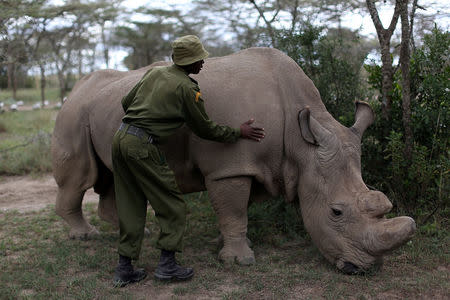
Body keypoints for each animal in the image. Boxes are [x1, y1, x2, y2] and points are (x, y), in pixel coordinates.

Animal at [51, 47, 414, 274]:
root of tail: (76, 89)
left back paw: (124, 229)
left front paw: (222, 245)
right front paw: (239, 262)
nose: (364, 269)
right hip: (73, 113)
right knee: (81, 177)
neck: (301, 145)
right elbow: (234, 209)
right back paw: (84, 237)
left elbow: (237, 210)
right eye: (336, 212)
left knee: (110, 175)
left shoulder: (252, 165)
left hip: (102, 112)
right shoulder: (229, 167)